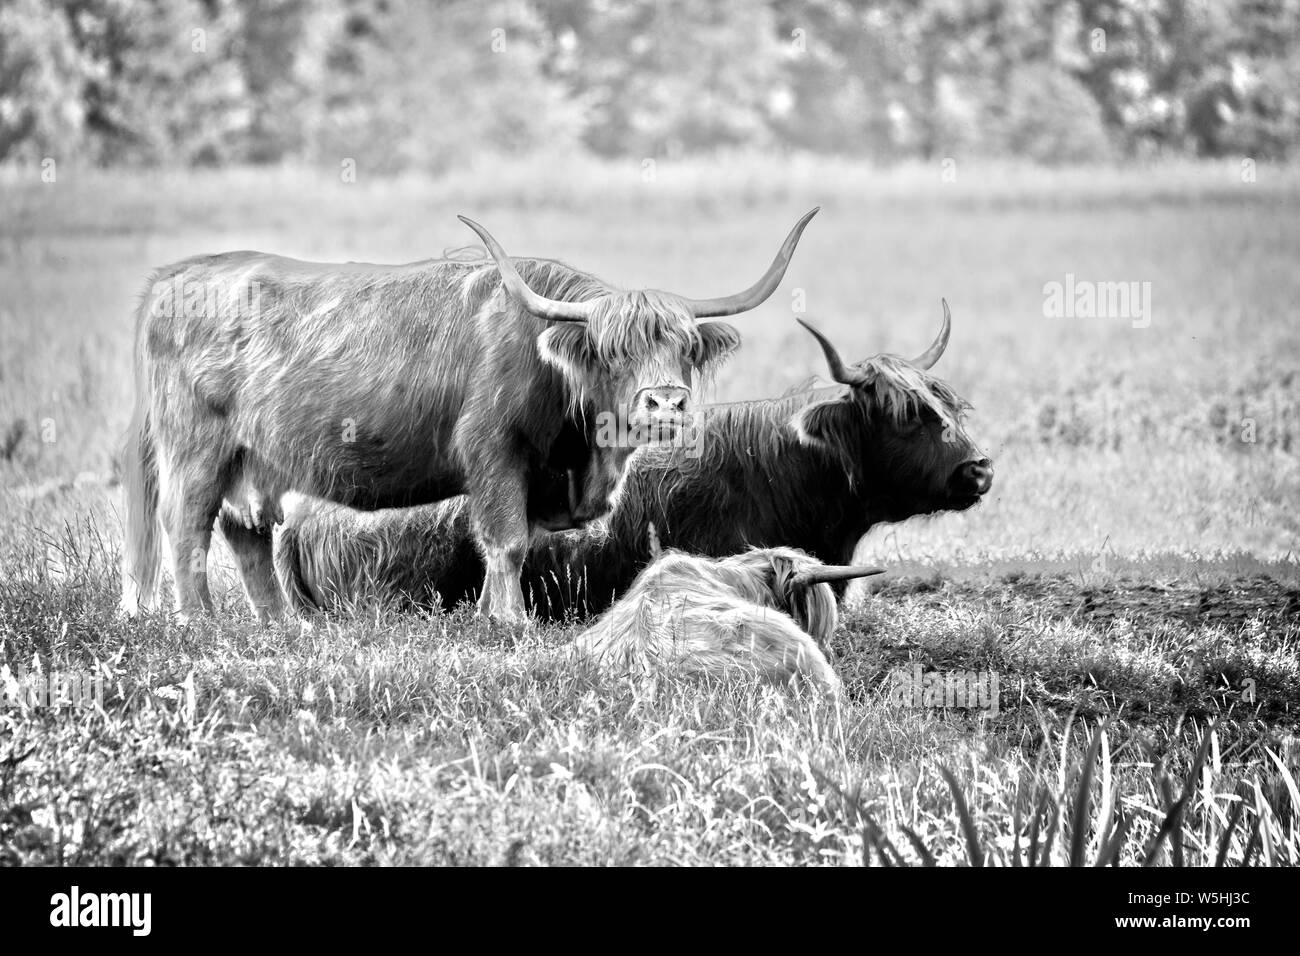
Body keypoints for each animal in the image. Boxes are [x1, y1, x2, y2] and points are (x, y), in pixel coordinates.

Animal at [119, 209, 819, 624]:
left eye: (684, 347)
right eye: (613, 350)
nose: (666, 404)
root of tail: (174, 279)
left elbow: (511, 546)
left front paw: (485, 614)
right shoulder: (494, 454)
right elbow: (505, 540)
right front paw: (510, 622)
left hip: (253, 461)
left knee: (247, 534)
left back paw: (278, 626)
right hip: (196, 451)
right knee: (186, 528)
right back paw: (202, 624)